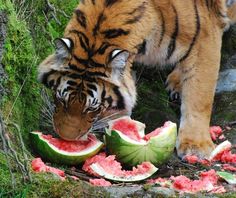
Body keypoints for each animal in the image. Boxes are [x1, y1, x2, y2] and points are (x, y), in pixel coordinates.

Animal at [38, 0, 236, 158]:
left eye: (92, 108)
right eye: (61, 99)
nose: (67, 139)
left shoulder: (204, 39)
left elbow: (199, 96)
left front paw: (196, 146)